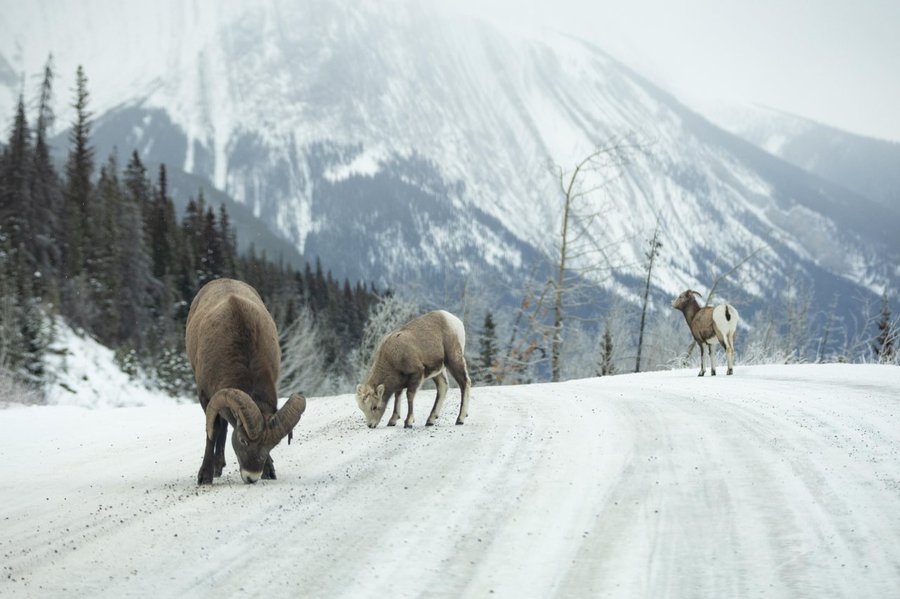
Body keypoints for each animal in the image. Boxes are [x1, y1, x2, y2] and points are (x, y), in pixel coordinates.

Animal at [185, 278, 306, 484]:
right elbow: (213, 431)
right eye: (243, 440)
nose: (252, 477)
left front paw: (269, 471)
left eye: (272, 445)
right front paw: (205, 476)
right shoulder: (205, 398)